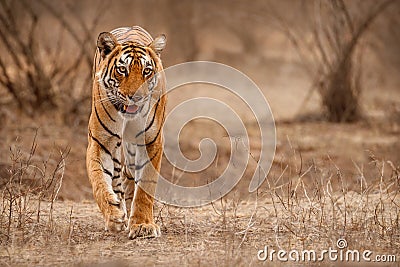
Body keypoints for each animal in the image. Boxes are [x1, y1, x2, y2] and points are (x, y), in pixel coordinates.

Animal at [86, 26, 167, 240]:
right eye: (123, 70)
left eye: (147, 71)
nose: (136, 97)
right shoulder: (101, 141)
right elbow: (99, 179)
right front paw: (114, 215)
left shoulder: (151, 141)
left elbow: (145, 187)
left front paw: (142, 225)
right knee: (116, 176)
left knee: (129, 173)